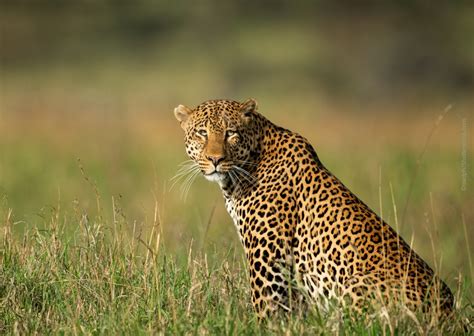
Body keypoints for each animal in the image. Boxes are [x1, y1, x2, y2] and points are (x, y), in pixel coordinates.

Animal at [173, 98, 452, 318]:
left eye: (231, 132)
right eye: (201, 133)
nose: (215, 159)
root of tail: (449, 314)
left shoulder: (268, 258)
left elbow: (266, 308)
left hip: (356, 285)